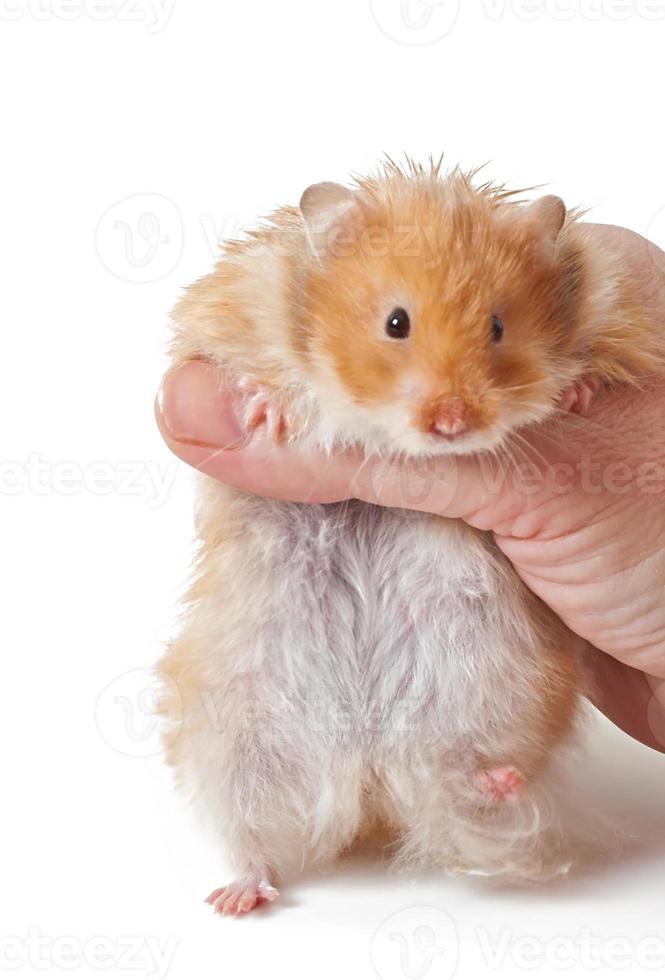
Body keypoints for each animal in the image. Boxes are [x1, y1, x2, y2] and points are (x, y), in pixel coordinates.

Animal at [157, 157, 664, 916]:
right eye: (396, 322)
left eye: (497, 326)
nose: (451, 422)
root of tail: (369, 775)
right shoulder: (224, 310)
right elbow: (240, 367)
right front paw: (267, 414)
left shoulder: (620, 313)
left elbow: (597, 357)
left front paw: (573, 395)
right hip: (229, 731)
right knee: (249, 832)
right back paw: (237, 898)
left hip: (498, 684)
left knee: (463, 790)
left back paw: (496, 780)